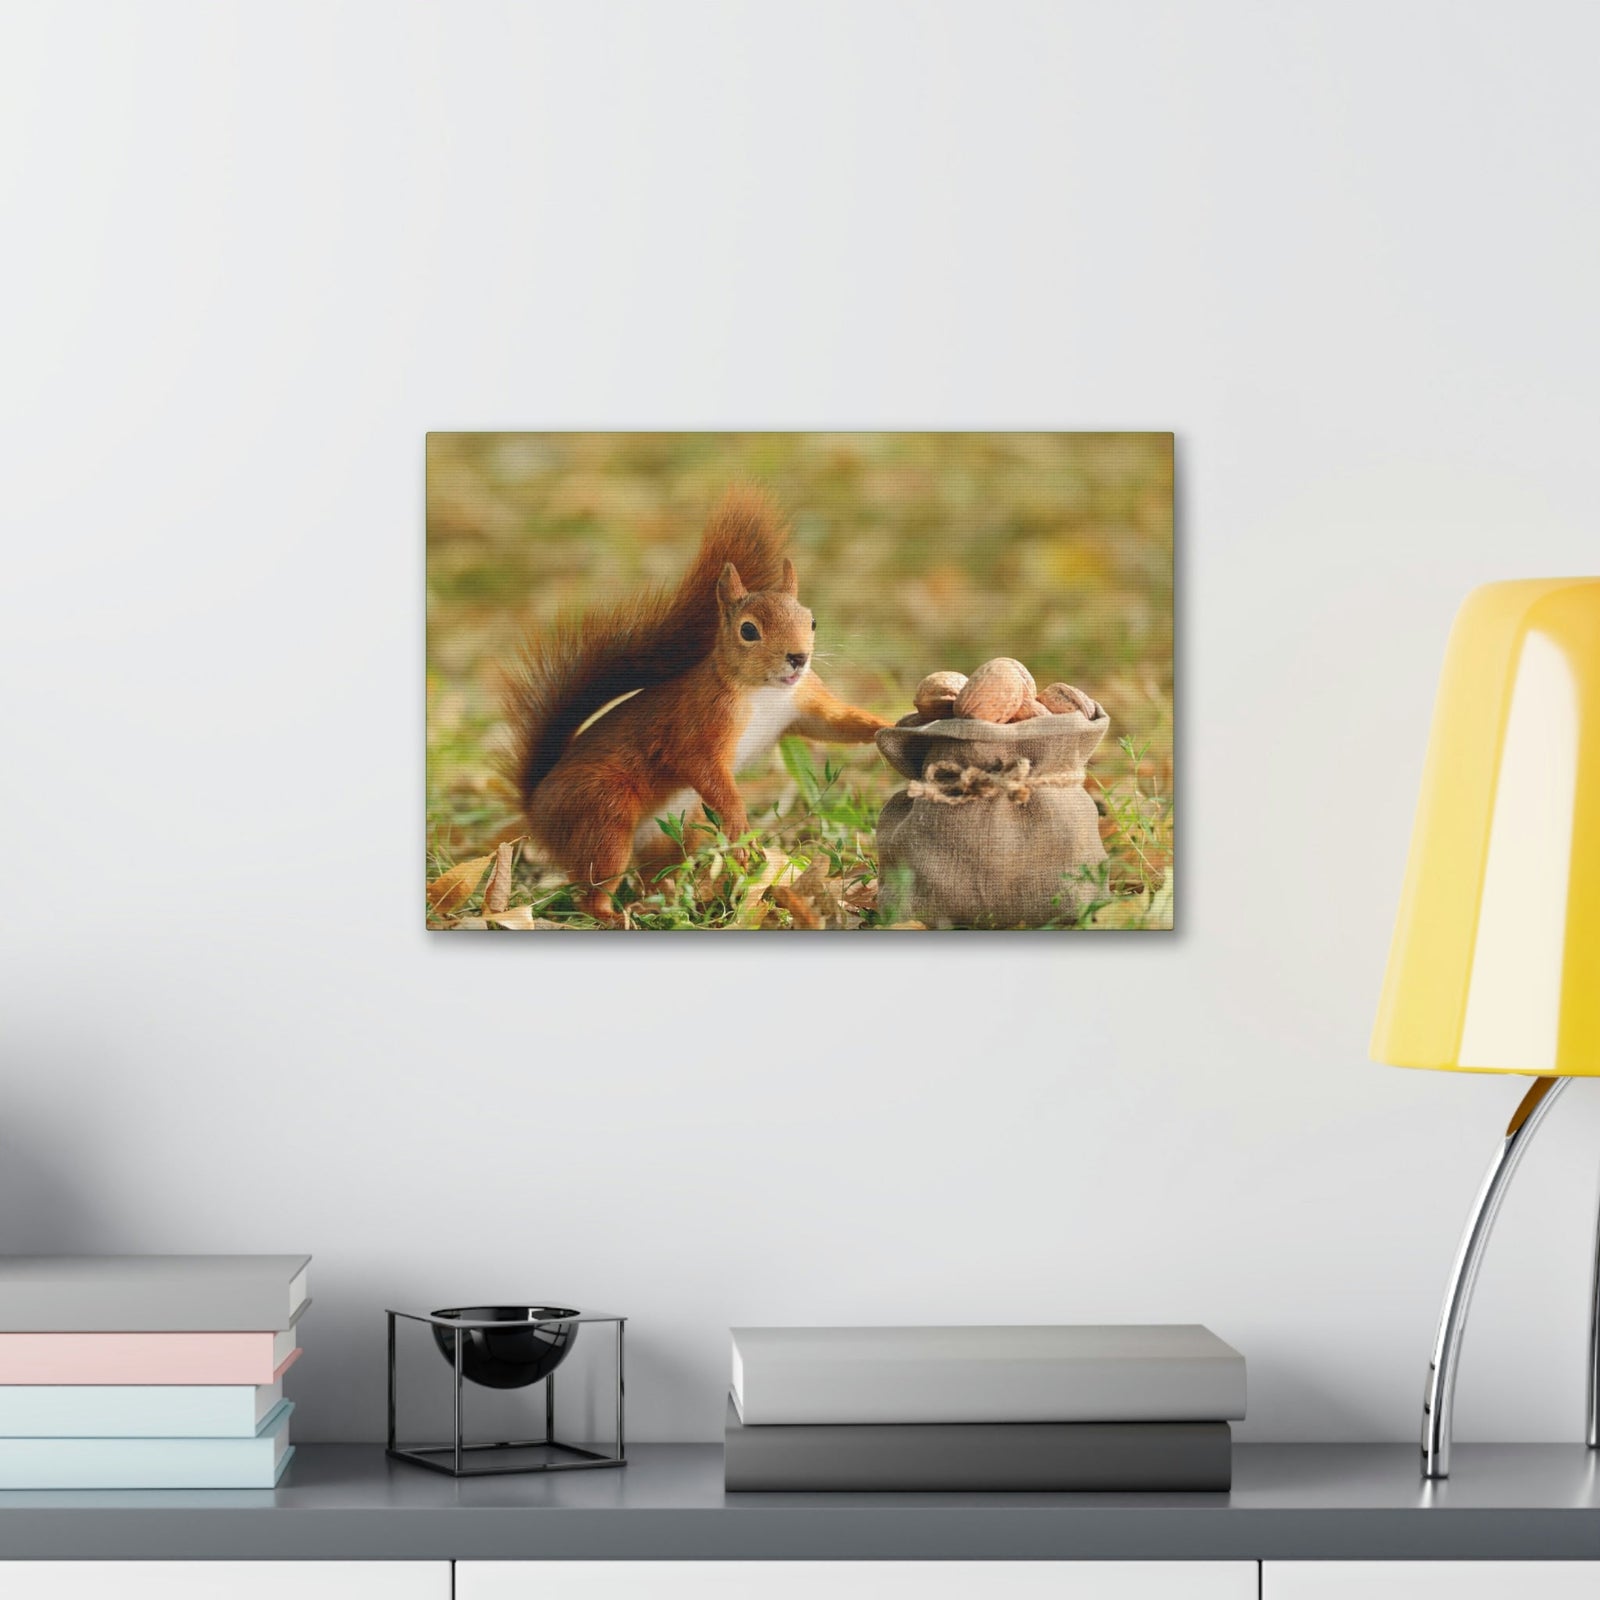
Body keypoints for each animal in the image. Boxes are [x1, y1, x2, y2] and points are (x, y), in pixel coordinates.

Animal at [504, 489, 891, 921]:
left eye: (812, 621)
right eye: (748, 630)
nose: (798, 658)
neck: (765, 691)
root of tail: (536, 808)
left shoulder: (802, 703)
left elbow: (836, 723)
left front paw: (888, 725)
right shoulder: (700, 722)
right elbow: (701, 765)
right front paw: (741, 830)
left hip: (672, 834)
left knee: (655, 875)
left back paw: (673, 901)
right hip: (603, 815)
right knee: (592, 887)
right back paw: (614, 915)